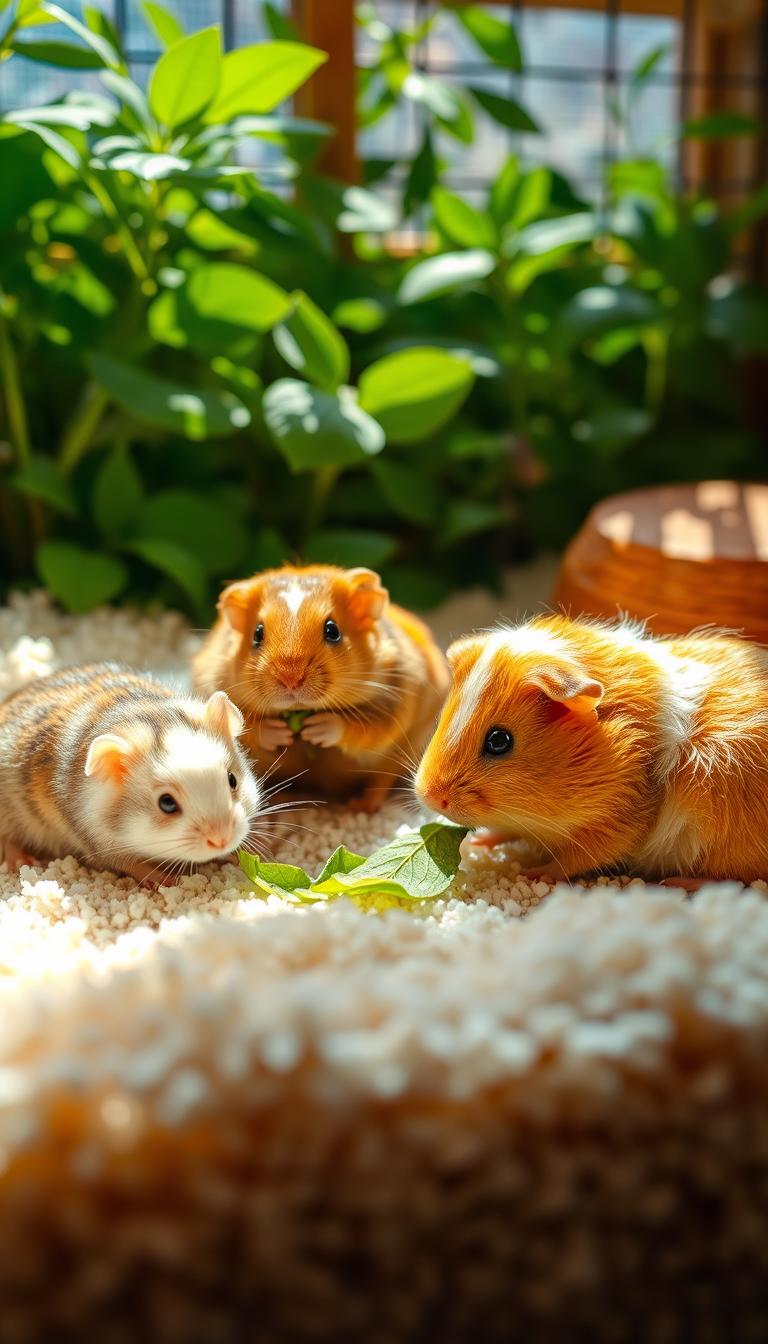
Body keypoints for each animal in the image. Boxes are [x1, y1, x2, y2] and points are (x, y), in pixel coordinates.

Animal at [0, 662, 262, 885]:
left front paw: (235, 857)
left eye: (232, 780)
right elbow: (131, 864)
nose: (222, 840)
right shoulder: (99, 842)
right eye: (166, 803)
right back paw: (21, 861)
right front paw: (166, 880)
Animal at [192, 564, 450, 812]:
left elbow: (364, 726)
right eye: (257, 633)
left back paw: (362, 806)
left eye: (332, 630)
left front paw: (317, 728)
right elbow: (250, 728)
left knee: (381, 780)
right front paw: (280, 732)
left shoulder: (394, 701)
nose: (291, 679)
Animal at [415, 614, 768, 883]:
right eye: (443, 718)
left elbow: (573, 860)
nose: (430, 796)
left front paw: (533, 874)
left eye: (499, 741)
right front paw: (481, 841)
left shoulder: (615, 826)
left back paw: (677, 884)